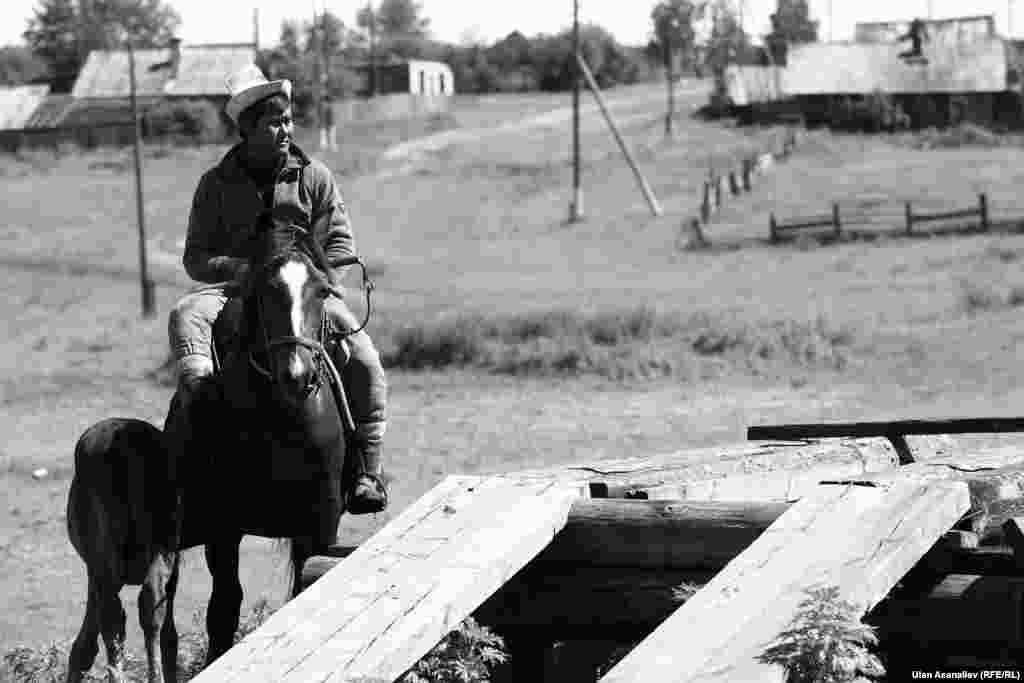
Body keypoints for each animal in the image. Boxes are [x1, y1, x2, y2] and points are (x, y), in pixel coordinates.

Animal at [167, 224, 360, 667]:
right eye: (265, 291)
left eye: (321, 290)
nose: (297, 374)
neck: (280, 422)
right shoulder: (224, 527)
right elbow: (224, 608)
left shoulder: (319, 524)